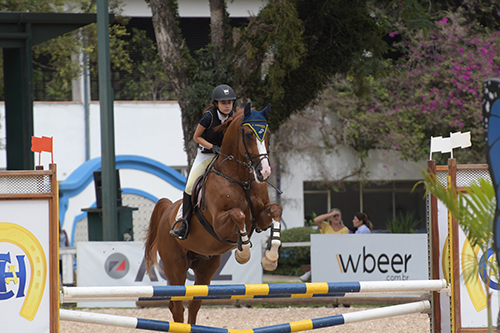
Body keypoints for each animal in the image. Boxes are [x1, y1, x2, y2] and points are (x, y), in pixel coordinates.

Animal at [146, 102, 286, 322]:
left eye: (268, 133)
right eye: (248, 134)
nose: (264, 173)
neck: (241, 178)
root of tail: (168, 210)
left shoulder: (261, 218)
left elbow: (276, 209)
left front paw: (270, 258)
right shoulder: (220, 225)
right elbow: (238, 214)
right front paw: (243, 253)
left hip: (205, 268)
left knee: (193, 304)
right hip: (175, 267)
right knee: (177, 307)